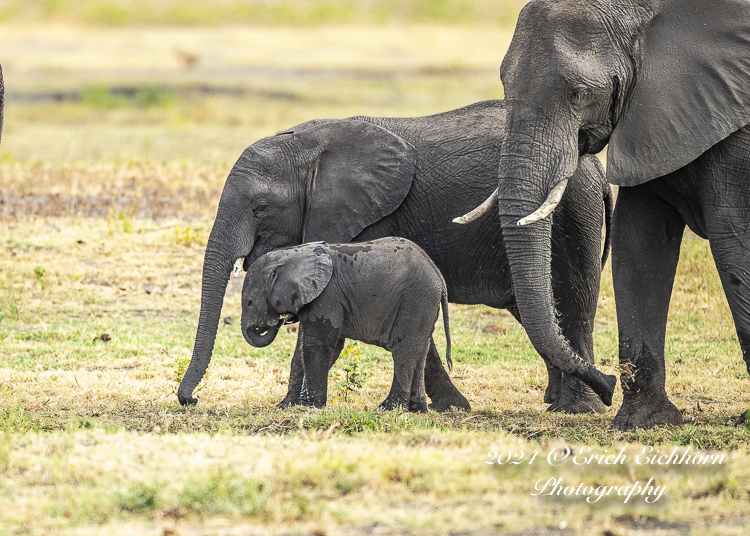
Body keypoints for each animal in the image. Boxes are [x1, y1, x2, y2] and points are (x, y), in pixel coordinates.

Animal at [242, 239, 452, 410]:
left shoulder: (327, 296)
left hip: (417, 298)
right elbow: (326, 346)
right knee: (420, 350)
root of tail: (438, 275)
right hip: (424, 303)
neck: (293, 253)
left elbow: (317, 344)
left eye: (250, 302)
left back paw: (388, 408)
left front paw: (313, 407)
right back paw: (418, 410)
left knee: (404, 350)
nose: (281, 319)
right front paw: (296, 405)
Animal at [462, 0, 750, 428]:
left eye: (579, 94)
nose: (607, 384)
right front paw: (645, 422)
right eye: (503, 84)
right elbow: (639, 241)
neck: (648, 12)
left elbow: (733, 237)